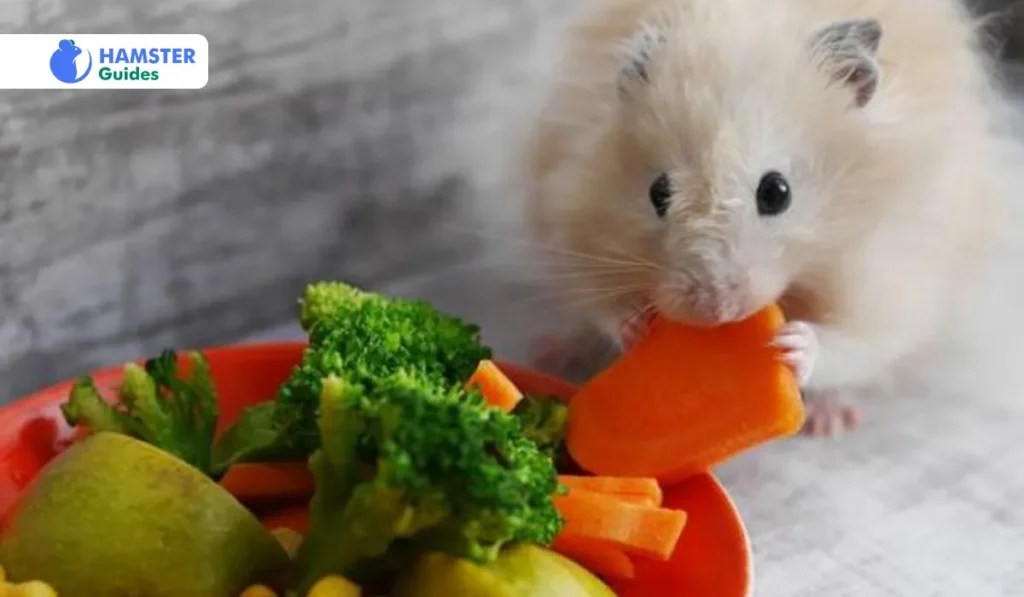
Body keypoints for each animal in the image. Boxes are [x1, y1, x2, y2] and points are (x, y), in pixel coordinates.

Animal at [520, 0, 1013, 435]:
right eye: (657, 193)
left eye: (776, 192)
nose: (714, 311)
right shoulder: (574, 215)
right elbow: (600, 302)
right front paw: (635, 323)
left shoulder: (892, 277)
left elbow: (859, 341)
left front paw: (791, 346)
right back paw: (552, 351)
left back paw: (830, 420)